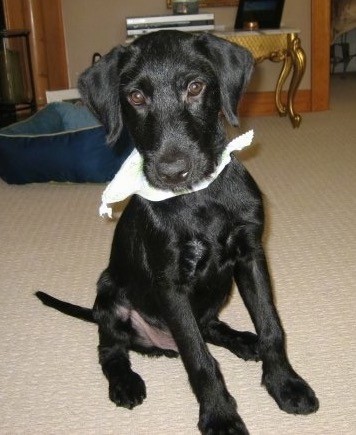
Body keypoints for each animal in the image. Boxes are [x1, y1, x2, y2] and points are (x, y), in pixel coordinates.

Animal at [36, 29, 320, 434]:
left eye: (195, 87)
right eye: (135, 97)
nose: (172, 171)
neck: (198, 197)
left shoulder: (251, 256)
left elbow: (271, 326)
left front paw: (285, 383)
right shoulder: (170, 283)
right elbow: (199, 359)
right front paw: (219, 414)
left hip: (219, 291)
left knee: (209, 325)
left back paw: (241, 340)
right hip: (109, 296)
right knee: (111, 349)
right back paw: (125, 383)